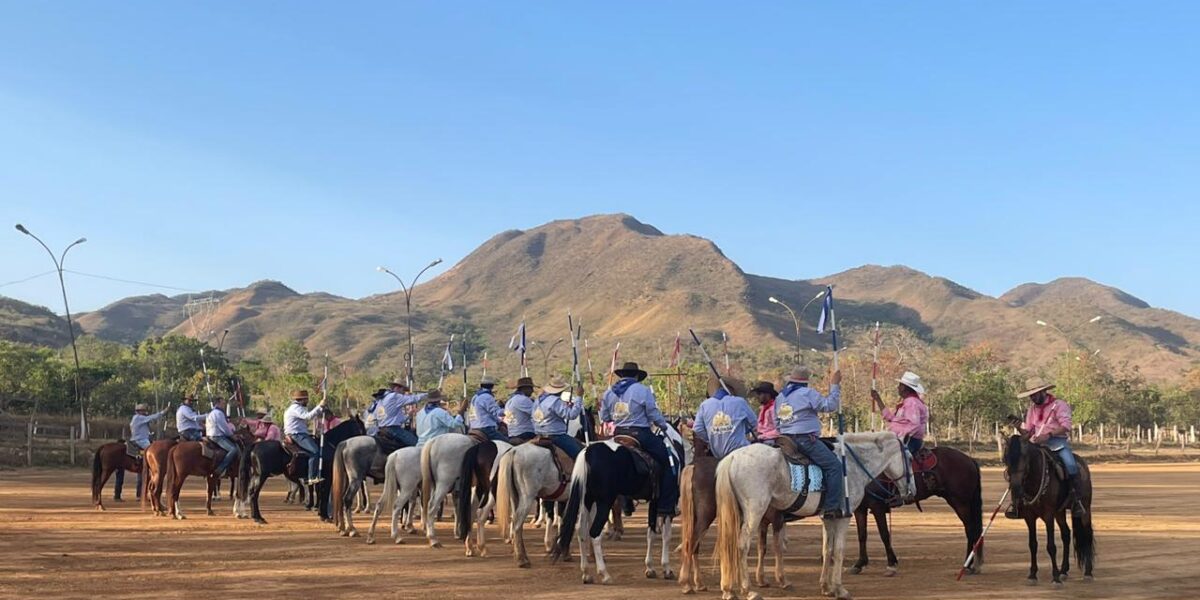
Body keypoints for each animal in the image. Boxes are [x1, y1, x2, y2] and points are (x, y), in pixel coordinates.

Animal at [549, 422, 686, 585]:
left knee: (581, 531)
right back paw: (604, 574)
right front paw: (666, 569)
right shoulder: (665, 503)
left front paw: (650, 568)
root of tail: (587, 452)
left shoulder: (654, 501)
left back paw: (586, 574)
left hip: (587, 501)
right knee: (594, 533)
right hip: (604, 502)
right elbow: (666, 535)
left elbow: (651, 533)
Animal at [710, 432, 916, 600]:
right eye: (910, 457)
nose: (911, 493)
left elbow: (827, 550)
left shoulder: (829, 517)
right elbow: (838, 550)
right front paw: (839, 589)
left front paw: (826, 587)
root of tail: (733, 457)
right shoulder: (844, 516)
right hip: (755, 511)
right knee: (742, 545)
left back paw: (728, 589)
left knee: (728, 544)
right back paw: (748, 590)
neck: (851, 465)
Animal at [844, 446, 984, 576]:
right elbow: (862, 535)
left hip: (960, 502)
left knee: (970, 529)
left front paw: (891, 565)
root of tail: (970, 459)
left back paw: (967, 565)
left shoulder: (877, 506)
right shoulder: (860, 509)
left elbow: (884, 535)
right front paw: (859, 564)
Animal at [1003, 434, 1099, 588]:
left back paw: (1088, 573)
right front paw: (1032, 575)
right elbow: (1033, 544)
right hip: (1060, 512)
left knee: (1087, 534)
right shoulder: (1029, 517)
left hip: (1085, 508)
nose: (1016, 488)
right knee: (1066, 534)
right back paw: (1064, 571)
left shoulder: (1048, 516)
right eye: (1006, 457)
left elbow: (1051, 546)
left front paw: (1055, 578)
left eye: (1024, 456)